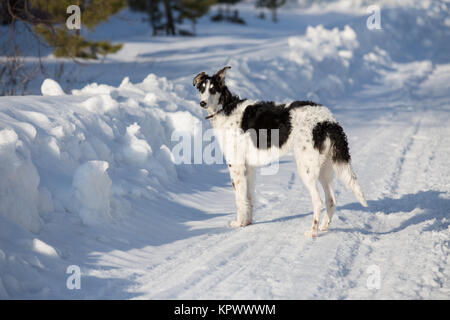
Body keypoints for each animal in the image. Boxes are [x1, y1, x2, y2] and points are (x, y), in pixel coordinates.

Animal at [192, 66, 366, 238]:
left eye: (213, 89)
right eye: (202, 88)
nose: (202, 103)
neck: (225, 108)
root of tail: (328, 121)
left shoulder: (236, 167)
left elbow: (240, 200)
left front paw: (239, 224)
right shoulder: (249, 168)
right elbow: (249, 199)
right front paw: (247, 222)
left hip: (306, 170)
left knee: (318, 202)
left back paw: (312, 232)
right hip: (324, 170)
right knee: (331, 201)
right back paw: (323, 228)